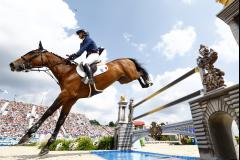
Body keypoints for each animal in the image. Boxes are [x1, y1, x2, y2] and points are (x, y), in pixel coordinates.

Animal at [9, 41, 152, 156]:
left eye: (32, 53)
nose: (12, 64)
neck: (66, 72)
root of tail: (126, 59)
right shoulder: (71, 99)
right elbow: (60, 120)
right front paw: (46, 148)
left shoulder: (65, 95)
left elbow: (49, 112)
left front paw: (26, 137)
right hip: (124, 79)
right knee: (138, 74)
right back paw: (145, 84)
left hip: (130, 75)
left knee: (140, 72)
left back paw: (148, 82)